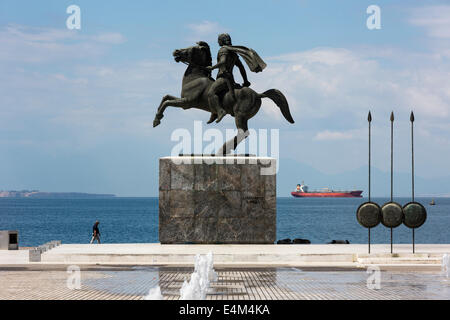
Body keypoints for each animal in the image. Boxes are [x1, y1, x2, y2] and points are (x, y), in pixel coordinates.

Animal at [155, 41, 296, 155]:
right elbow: (165, 97)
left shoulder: (186, 103)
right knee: (244, 133)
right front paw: (156, 118)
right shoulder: (182, 100)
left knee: (243, 133)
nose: (176, 51)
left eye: (192, 48)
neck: (195, 78)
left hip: (240, 115)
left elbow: (167, 103)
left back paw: (222, 149)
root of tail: (258, 94)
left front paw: (156, 121)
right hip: (243, 117)